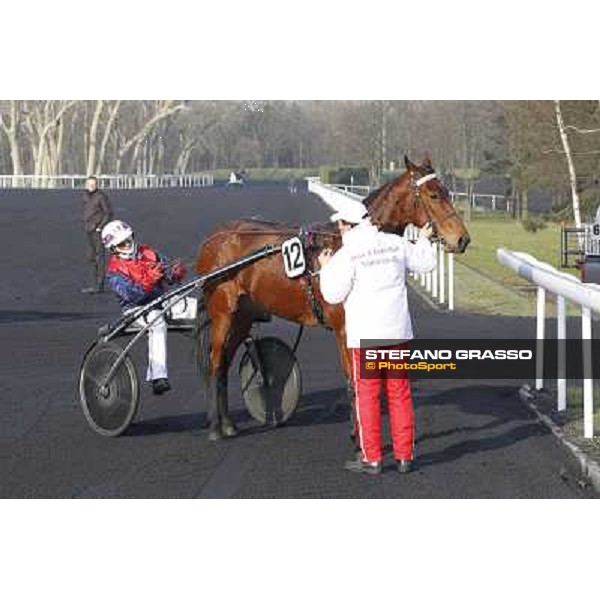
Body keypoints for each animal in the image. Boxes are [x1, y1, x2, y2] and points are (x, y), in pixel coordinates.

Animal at [195, 156, 472, 440]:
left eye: (448, 192)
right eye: (434, 194)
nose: (462, 239)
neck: (355, 242)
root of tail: (215, 238)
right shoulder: (344, 328)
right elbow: (352, 378)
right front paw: (358, 435)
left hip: (243, 316)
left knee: (224, 363)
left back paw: (228, 424)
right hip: (223, 313)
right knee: (215, 363)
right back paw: (216, 427)